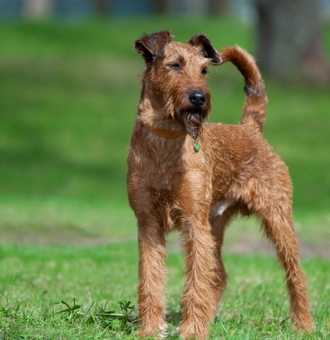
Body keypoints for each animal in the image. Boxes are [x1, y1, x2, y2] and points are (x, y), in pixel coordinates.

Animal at [125, 30, 312, 338]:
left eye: (204, 71)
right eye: (175, 65)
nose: (199, 97)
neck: (166, 139)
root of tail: (250, 128)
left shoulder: (194, 222)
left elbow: (196, 279)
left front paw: (192, 331)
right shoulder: (148, 222)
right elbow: (150, 279)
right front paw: (150, 329)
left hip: (278, 217)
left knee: (296, 273)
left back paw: (304, 324)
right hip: (216, 223)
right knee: (220, 274)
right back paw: (208, 318)